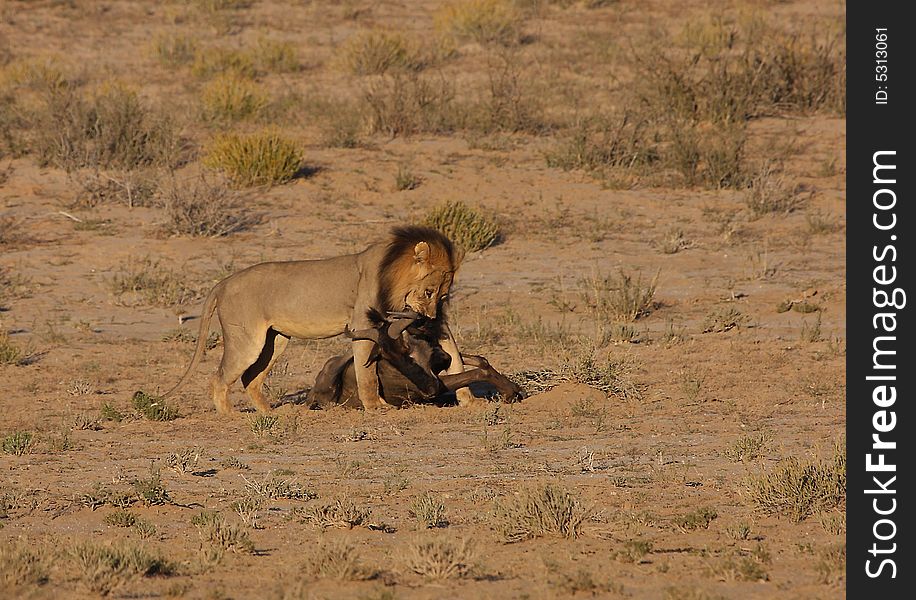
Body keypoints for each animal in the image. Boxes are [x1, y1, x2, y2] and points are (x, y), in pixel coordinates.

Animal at [160, 225, 468, 412]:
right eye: (428, 291)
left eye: (443, 296)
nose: (427, 317)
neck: (393, 277)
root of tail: (222, 283)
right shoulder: (363, 324)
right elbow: (366, 373)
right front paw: (375, 406)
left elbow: (455, 354)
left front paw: (469, 400)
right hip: (246, 341)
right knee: (220, 378)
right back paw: (232, 416)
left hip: (275, 341)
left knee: (251, 378)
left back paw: (271, 413)